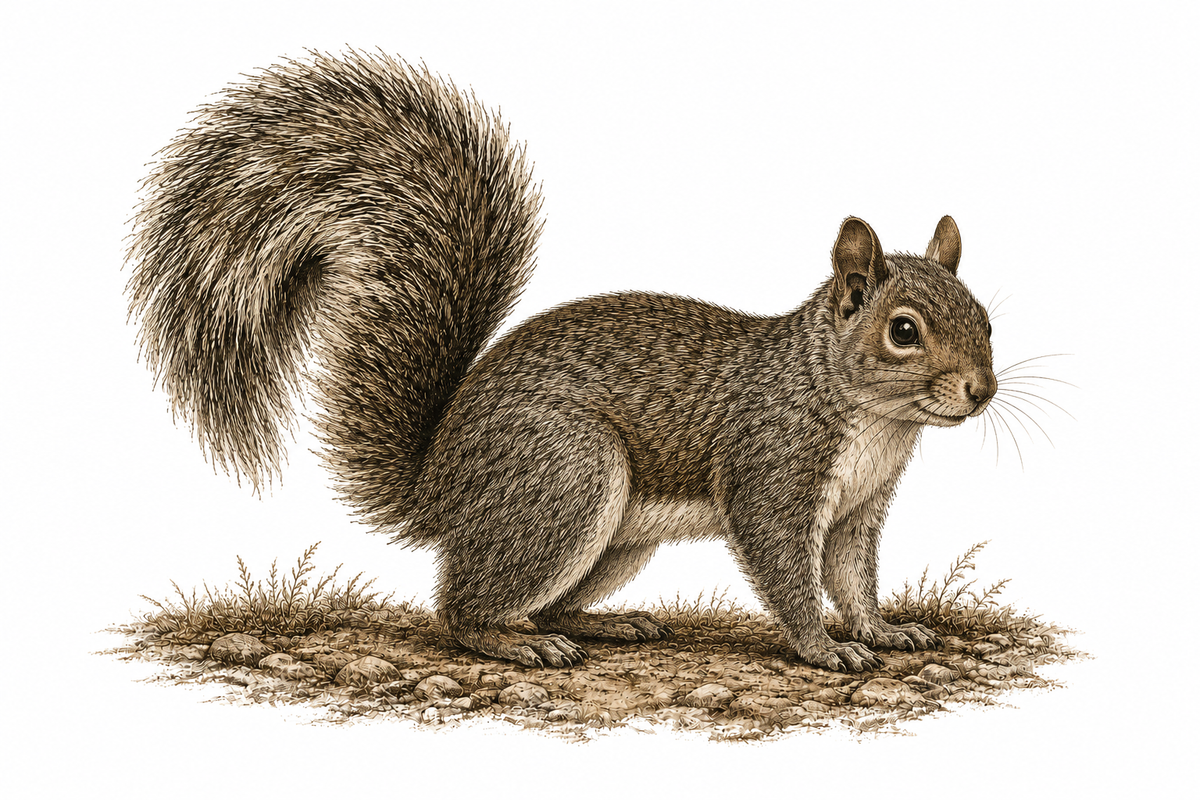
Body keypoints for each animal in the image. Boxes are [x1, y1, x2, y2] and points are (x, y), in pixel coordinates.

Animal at [127, 51, 997, 672]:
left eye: (987, 319)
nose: (981, 390)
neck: (873, 421)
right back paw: (521, 643)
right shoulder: (772, 472)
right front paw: (822, 648)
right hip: (563, 482)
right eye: (904, 330)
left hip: (608, 534)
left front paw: (881, 630)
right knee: (461, 610)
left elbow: (852, 576)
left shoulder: (860, 507)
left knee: (538, 599)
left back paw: (606, 622)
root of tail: (438, 485)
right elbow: (787, 571)